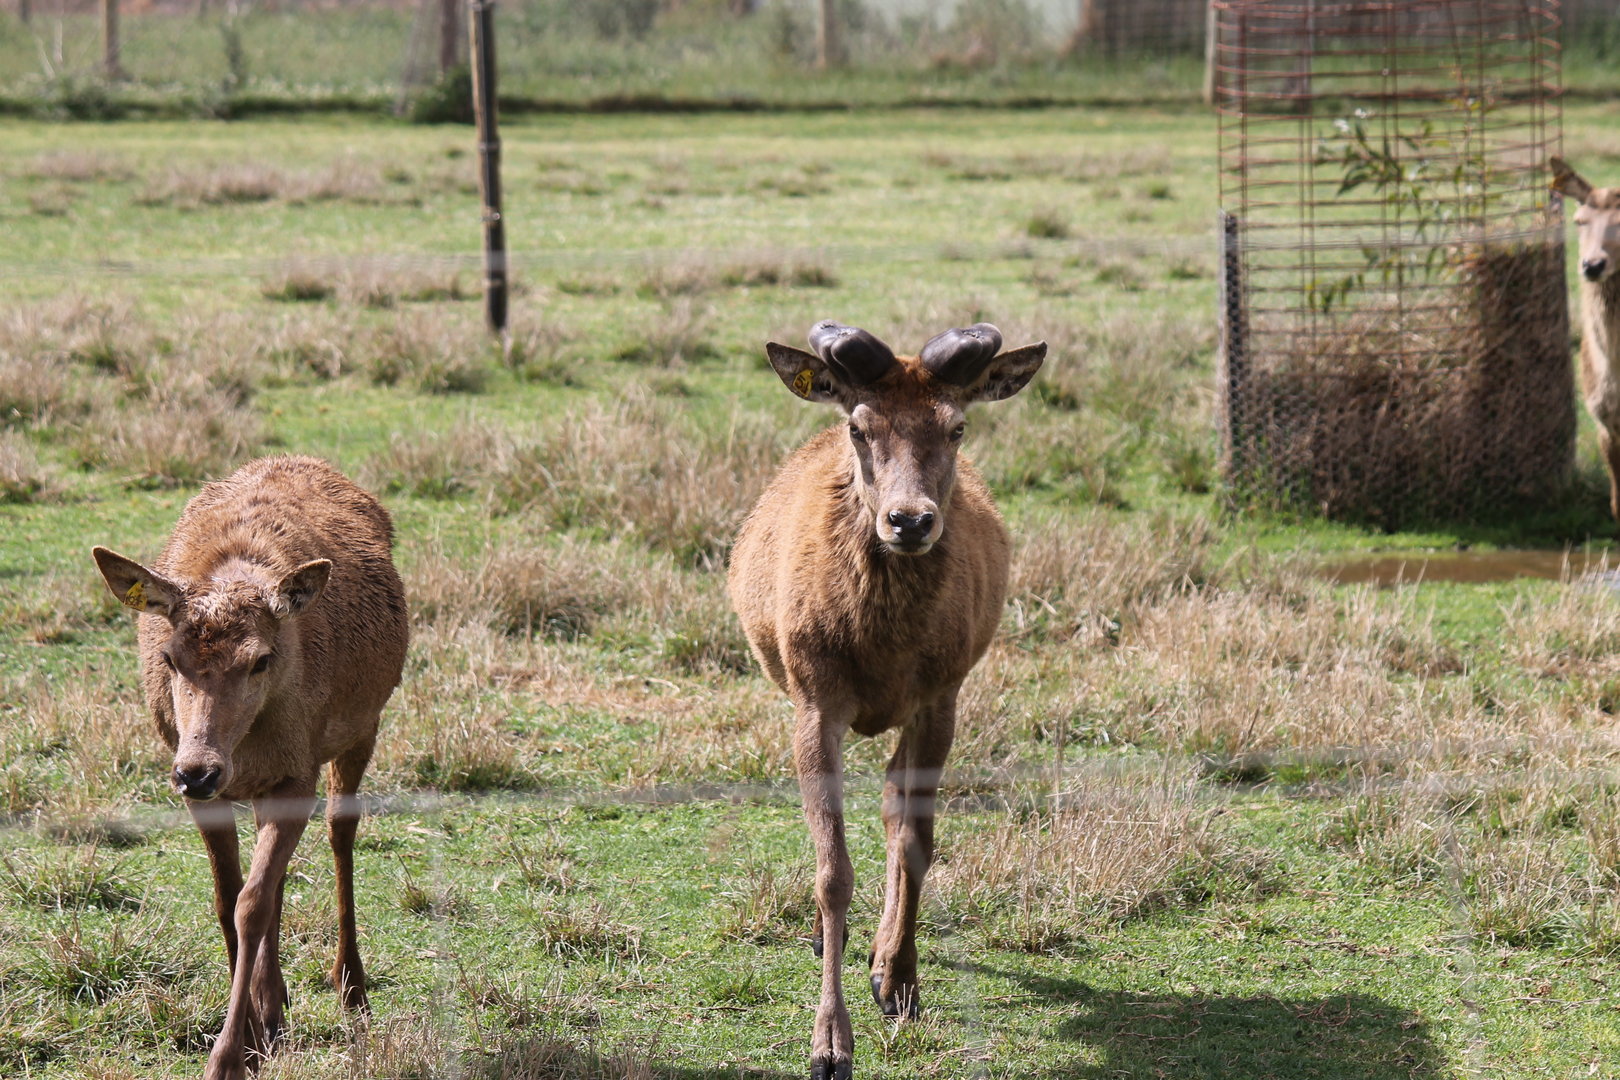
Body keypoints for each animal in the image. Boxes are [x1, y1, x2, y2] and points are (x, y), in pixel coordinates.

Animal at [92, 455, 408, 1080]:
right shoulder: (208, 790)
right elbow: (228, 898)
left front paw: (228, 1058)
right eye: (169, 657)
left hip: (363, 725)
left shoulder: (297, 772)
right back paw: (276, 1002)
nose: (198, 770)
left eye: (260, 659)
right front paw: (259, 1036)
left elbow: (251, 904)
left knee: (341, 832)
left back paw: (352, 987)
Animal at [728, 320, 1044, 1080]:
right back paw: (831, 940)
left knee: (895, 806)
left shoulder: (941, 697)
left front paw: (899, 983)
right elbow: (832, 871)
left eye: (957, 426)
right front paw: (828, 1046)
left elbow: (916, 841)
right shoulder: (815, 701)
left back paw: (878, 958)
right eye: (859, 425)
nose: (909, 521)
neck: (882, 648)